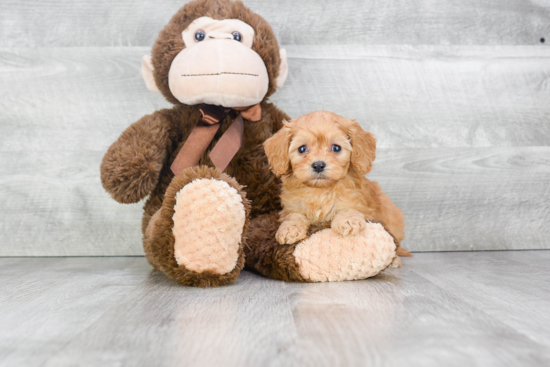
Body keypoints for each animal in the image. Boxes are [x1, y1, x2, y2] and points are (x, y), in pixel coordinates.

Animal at [266, 109, 412, 264]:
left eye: (336, 148)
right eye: (302, 149)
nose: (318, 165)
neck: (320, 190)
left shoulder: (362, 206)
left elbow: (349, 208)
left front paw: (348, 220)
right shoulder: (290, 207)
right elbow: (293, 215)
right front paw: (289, 229)